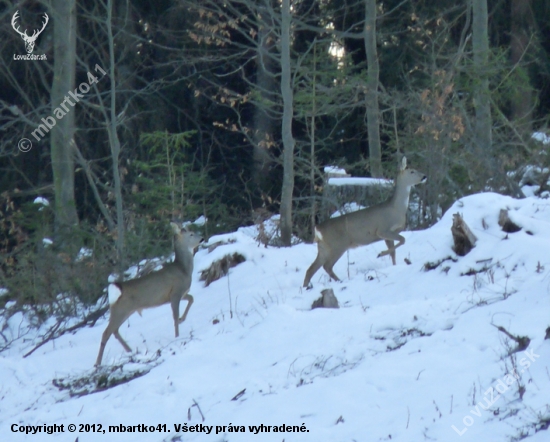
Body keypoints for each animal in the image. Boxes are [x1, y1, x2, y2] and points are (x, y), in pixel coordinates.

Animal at [95, 223, 205, 364]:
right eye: (191, 234)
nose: (202, 238)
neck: (183, 270)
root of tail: (116, 289)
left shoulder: (180, 294)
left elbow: (192, 299)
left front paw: (182, 319)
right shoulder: (175, 293)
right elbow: (174, 316)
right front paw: (177, 336)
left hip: (124, 310)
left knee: (114, 330)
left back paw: (130, 351)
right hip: (120, 310)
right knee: (106, 332)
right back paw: (97, 363)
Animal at [304, 157, 430, 288]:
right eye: (412, 171)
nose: (424, 176)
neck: (396, 209)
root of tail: (317, 228)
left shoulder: (388, 234)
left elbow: (394, 252)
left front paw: (392, 264)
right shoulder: (382, 230)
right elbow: (402, 240)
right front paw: (381, 254)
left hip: (323, 248)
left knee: (310, 269)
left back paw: (306, 287)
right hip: (337, 245)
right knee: (327, 266)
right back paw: (339, 281)